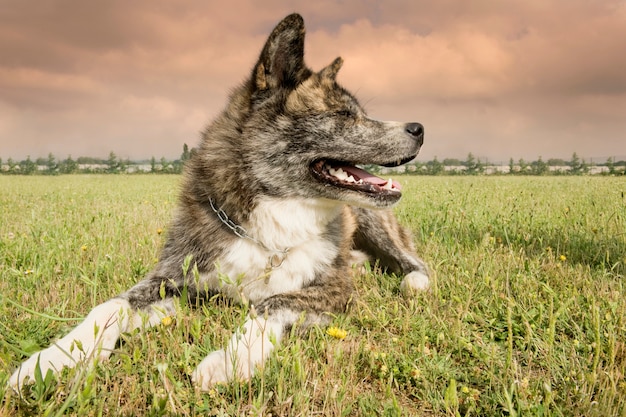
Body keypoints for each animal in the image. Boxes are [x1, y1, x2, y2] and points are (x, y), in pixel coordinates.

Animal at [11, 13, 428, 390]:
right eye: (343, 114)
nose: (420, 128)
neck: (270, 222)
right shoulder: (171, 280)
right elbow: (109, 306)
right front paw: (53, 358)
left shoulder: (333, 291)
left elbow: (270, 303)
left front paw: (229, 360)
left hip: (372, 219)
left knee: (413, 262)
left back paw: (412, 280)